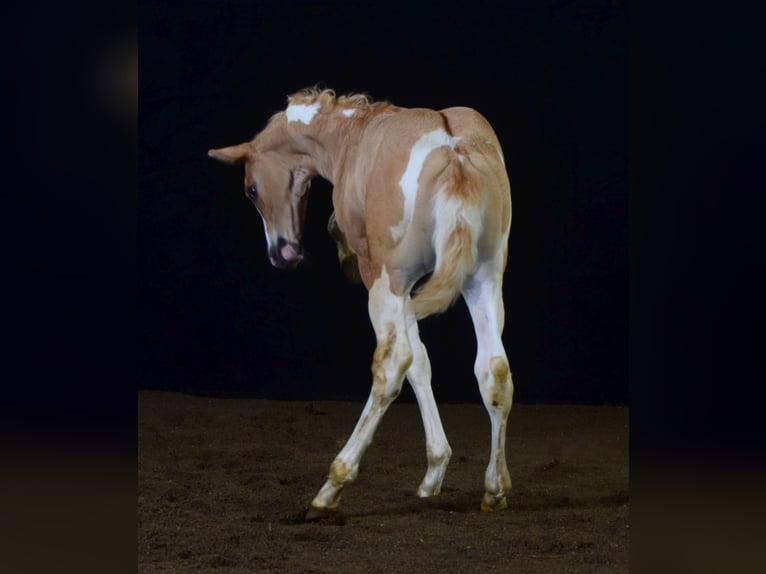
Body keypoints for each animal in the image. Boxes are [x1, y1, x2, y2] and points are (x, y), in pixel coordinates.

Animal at [208, 86, 516, 516]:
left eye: (251, 189)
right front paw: (434, 471)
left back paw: (332, 487)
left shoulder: (386, 280)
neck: (351, 135)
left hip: (392, 282)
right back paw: (495, 488)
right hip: (484, 278)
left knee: (392, 365)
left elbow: (411, 361)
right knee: (494, 370)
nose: (281, 254)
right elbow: (425, 363)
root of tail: (454, 155)